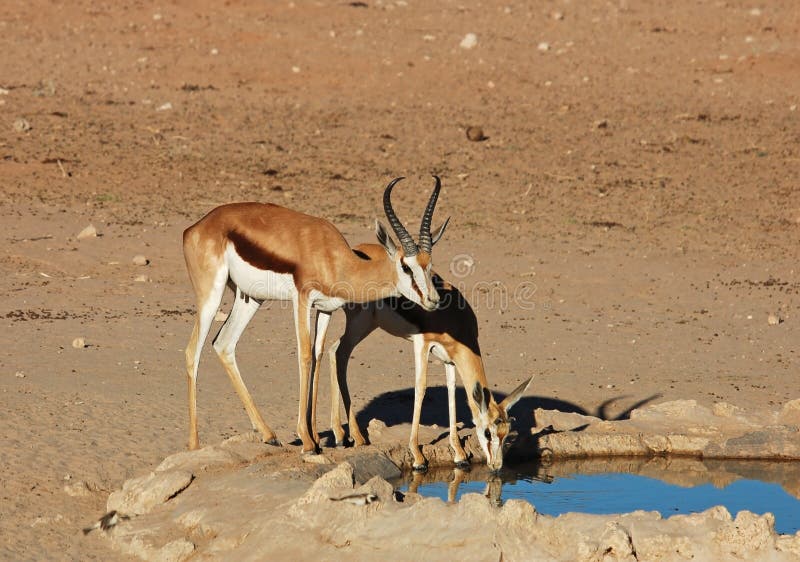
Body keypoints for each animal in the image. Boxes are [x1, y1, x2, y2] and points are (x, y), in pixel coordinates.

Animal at [183, 177, 450, 452]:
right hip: (210, 297)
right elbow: (304, 356)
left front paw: (315, 436)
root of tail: (196, 227)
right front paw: (307, 440)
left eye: (429, 264)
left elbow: (318, 354)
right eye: (406, 266)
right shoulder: (301, 300)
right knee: (193, 351)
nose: (433, 300)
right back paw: (194, 445)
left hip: (249, 299)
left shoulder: (325, 308)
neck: (333, 257)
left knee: (224, 344)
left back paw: (269, 434)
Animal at [324, 262, 532, 468]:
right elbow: (421, 388)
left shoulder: (449, 359)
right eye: (488, 432)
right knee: (339, 353)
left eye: (507, 433)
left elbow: (451, 391)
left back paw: (344, 436)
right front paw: (417, 456)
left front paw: (459, 454)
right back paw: (350, 436)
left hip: (367, 324)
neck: (453, 317)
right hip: (360, 322)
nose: (496, 465)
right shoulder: (422, 344)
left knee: (336, 351)